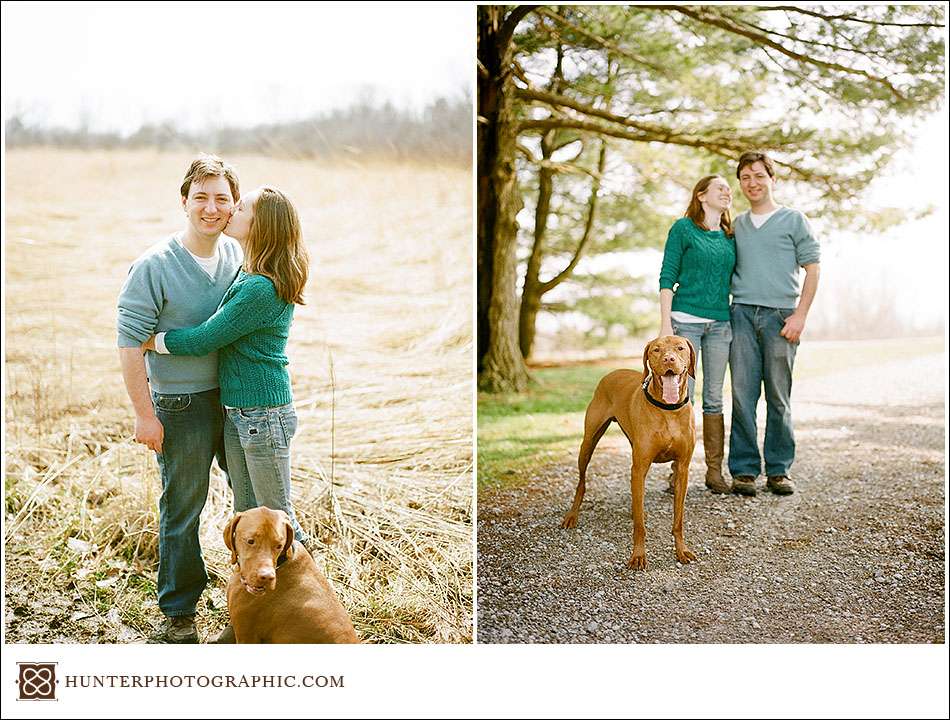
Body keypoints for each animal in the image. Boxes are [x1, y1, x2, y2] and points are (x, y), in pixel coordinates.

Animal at [560, 334, 704, 572]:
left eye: (680, 348)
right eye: (656, 349)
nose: (669, 359)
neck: (668, 410)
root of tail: (613, 371)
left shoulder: (683, 468)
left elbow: (678, 519)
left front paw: (681, 551)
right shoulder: (639, 468)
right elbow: (639, 526)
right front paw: (638, 556)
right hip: (588, 443)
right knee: (581, 481)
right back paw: (572, 515)